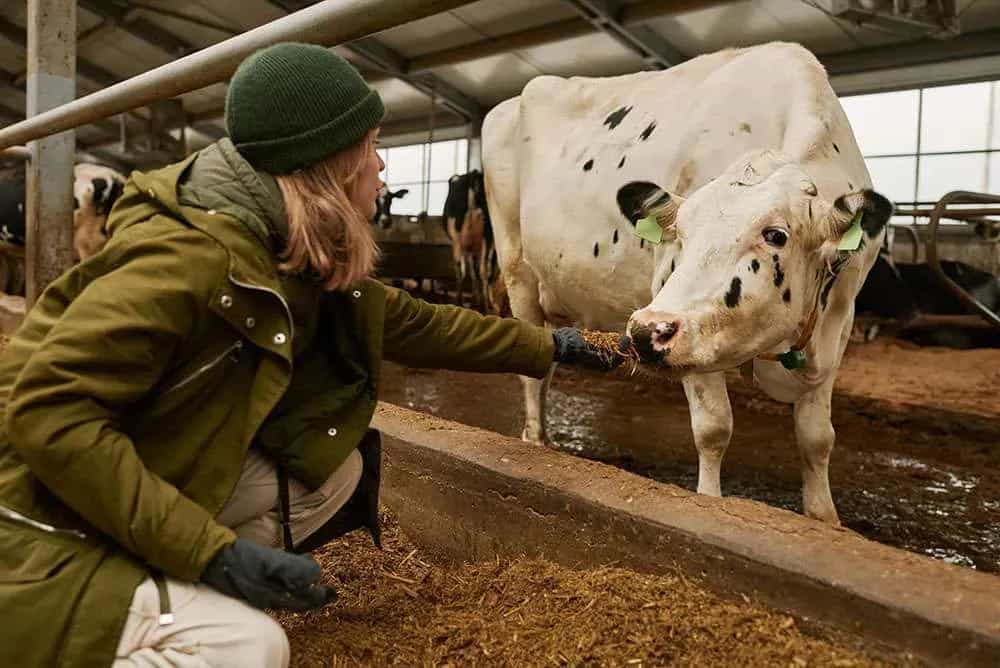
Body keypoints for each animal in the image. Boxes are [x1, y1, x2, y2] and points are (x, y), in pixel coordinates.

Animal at [443, 170, 498, 310]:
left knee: (461, 269)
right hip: (486, 235)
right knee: (484, 271)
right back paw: (486, 305)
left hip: (458, 239)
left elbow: (471, 272)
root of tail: (473, 175)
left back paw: (460, 301)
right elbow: (477, 272)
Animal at [483, 42, 894, 524]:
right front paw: (709, 502)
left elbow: (817, 437)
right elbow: (714, 427)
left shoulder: (838, 323)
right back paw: (535, 438)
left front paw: (824, 518)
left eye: (776, 234)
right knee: (532, 367)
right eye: (681, 232)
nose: (646, 331)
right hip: (518, 272)